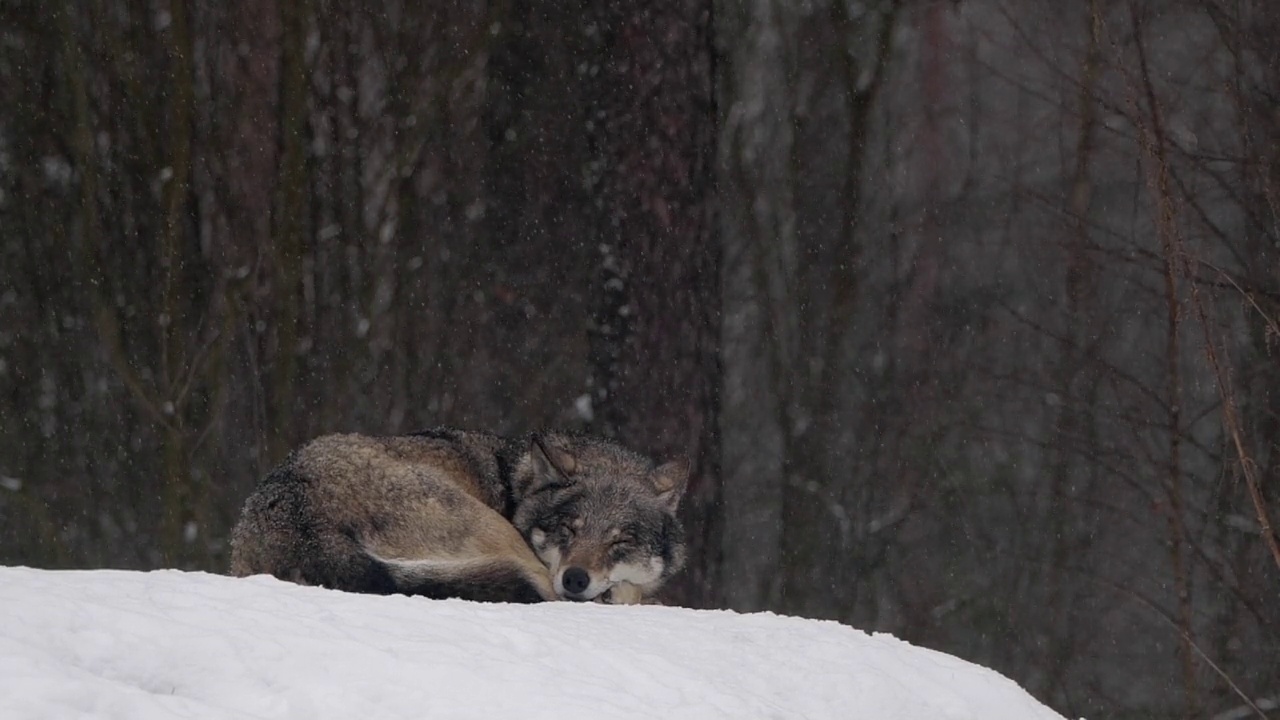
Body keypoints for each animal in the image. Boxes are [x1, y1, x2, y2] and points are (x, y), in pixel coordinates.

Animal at [230, 427, 691, 602]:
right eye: (567, 530)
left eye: (620, 541)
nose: (576, 579)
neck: (515, 485)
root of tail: (303, 522)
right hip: (495, 532)